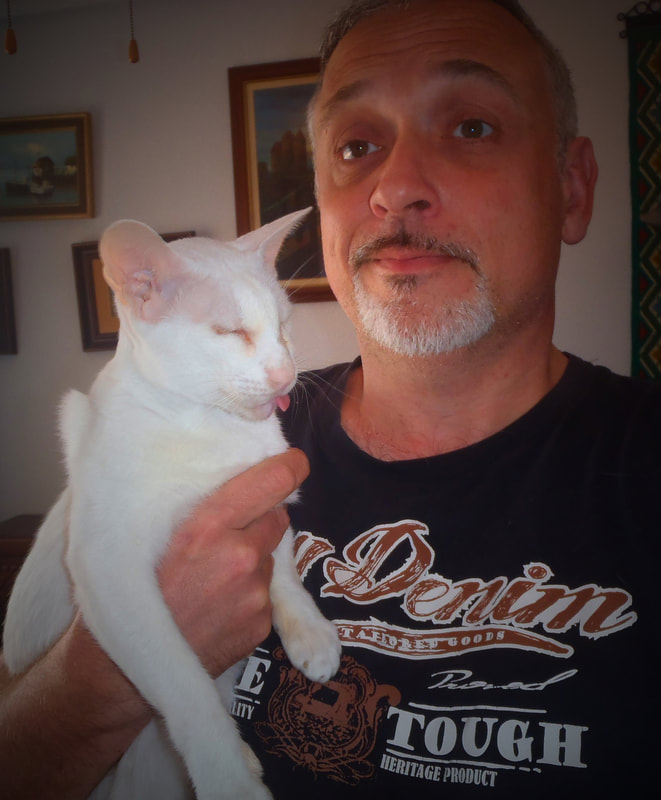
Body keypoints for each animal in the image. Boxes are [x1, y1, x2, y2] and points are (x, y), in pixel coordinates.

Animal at [2, 208, 341, 800]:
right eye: (230, 332)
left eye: (283, 325)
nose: (285, 375)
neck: (208, 426)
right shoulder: (108, 571)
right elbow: (184, 686)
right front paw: (229, 775)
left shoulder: (266, 497)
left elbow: (282, 565)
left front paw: (309, 631)